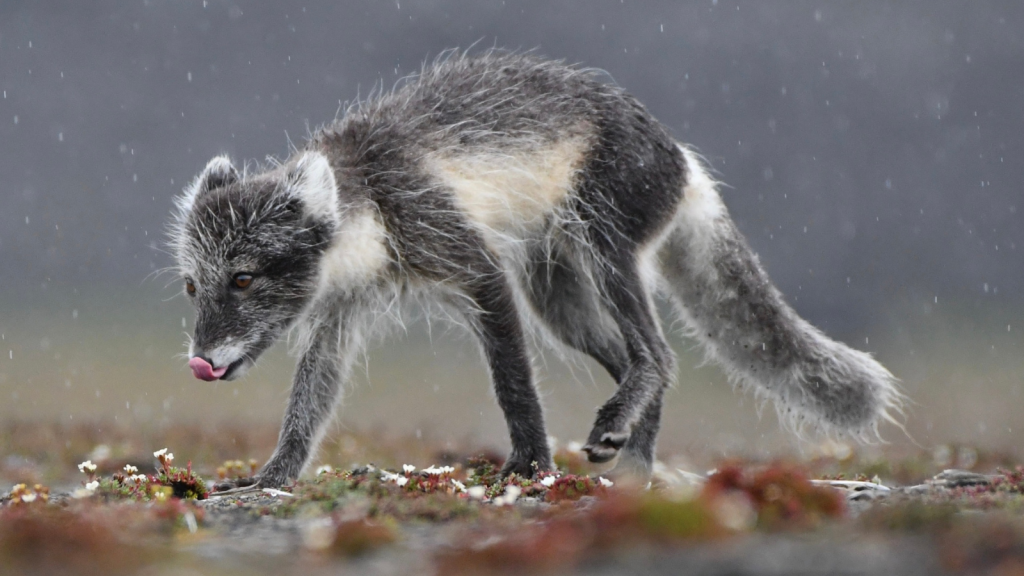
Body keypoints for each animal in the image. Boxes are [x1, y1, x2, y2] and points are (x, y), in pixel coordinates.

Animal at [172, 51, 901, 485]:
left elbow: (513, 386)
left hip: (606, 243)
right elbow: (307, 405)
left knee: (659, 354)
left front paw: (528, 465)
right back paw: (633, 464)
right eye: (193, 286)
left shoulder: (476, 268)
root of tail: (683, 157)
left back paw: (622, 439)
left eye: (243, 278)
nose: (200, 361)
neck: (370, 200)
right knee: (638, 361)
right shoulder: (340, 313)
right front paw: (272, 477)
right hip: (558, 300)